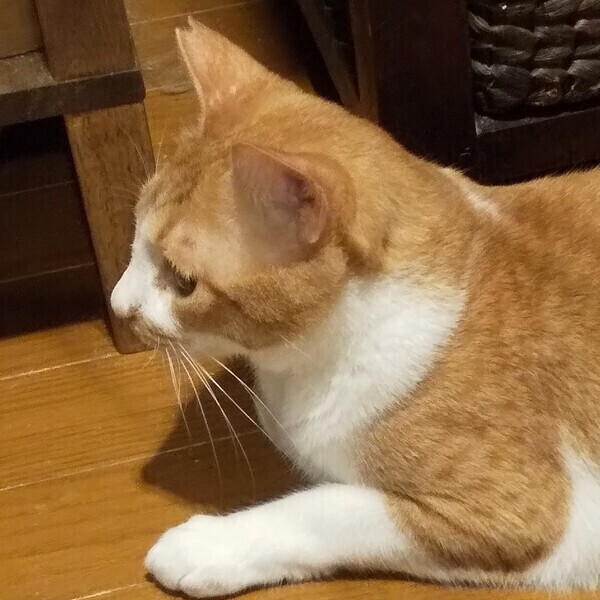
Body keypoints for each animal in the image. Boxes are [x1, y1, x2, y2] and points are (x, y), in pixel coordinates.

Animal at [111, 18, 600, 598]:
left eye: (183, 282)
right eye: (136, 236)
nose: (116, 304)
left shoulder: (519, 513)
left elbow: (326, 505)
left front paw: (208, 547)